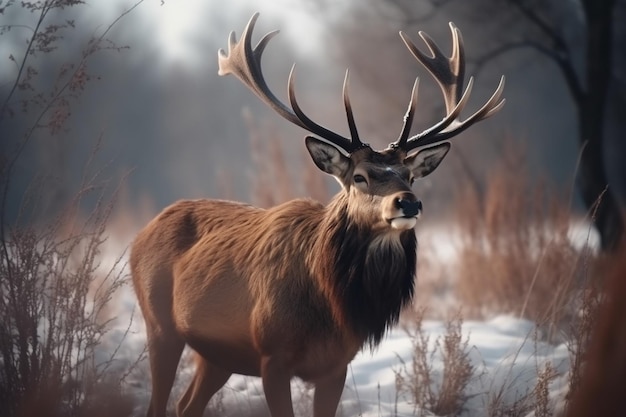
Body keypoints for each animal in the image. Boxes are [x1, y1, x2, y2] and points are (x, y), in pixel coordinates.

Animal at [130, 12, 502, 416]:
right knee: (159, 402)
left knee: (186, 405)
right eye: (360, 176)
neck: (329, 306)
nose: (408, 202)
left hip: (217, 354)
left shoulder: (337, 365)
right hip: (159, 325)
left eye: (410, 175)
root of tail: (141, 233)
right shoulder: (272, 357)